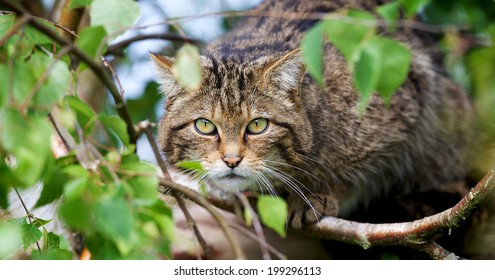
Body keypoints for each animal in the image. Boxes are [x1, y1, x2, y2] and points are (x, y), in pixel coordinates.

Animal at [150, 0, 472, 229]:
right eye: (205, 126)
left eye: (258, 125)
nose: (231, 160)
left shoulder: (403, 111)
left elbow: (365, 174)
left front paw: (319, 193)